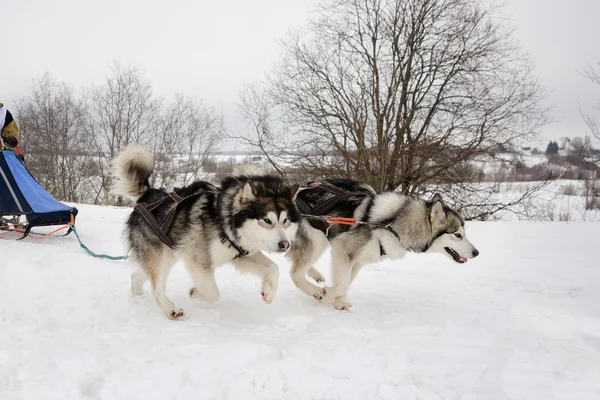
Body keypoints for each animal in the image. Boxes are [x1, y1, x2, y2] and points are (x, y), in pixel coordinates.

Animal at [110, 146, 300, 318]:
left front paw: (269, 292)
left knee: (137, 275)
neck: (223, 219)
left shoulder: (241, 255)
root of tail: (148, 194)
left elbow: (274, 268)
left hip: (168, 254)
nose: (285, 245)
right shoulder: (198, 260)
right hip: (161, 256)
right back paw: (169, 309)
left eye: (285, 221)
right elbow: (213, 293)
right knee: (156, 285)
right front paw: (196, 292)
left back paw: (139, 299)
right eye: (267, 221)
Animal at [288, 180, 480, 310]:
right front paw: (326, 294)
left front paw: (338, 302)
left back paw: (316, 275)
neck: (392, 224)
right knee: (295, 273)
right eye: (458, 235)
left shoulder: (357, 260)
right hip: (317, 239)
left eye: (464, 233)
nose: (477, 252)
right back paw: (314, 289)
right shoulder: (342, 248)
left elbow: (346, 282)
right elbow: (342, 285)